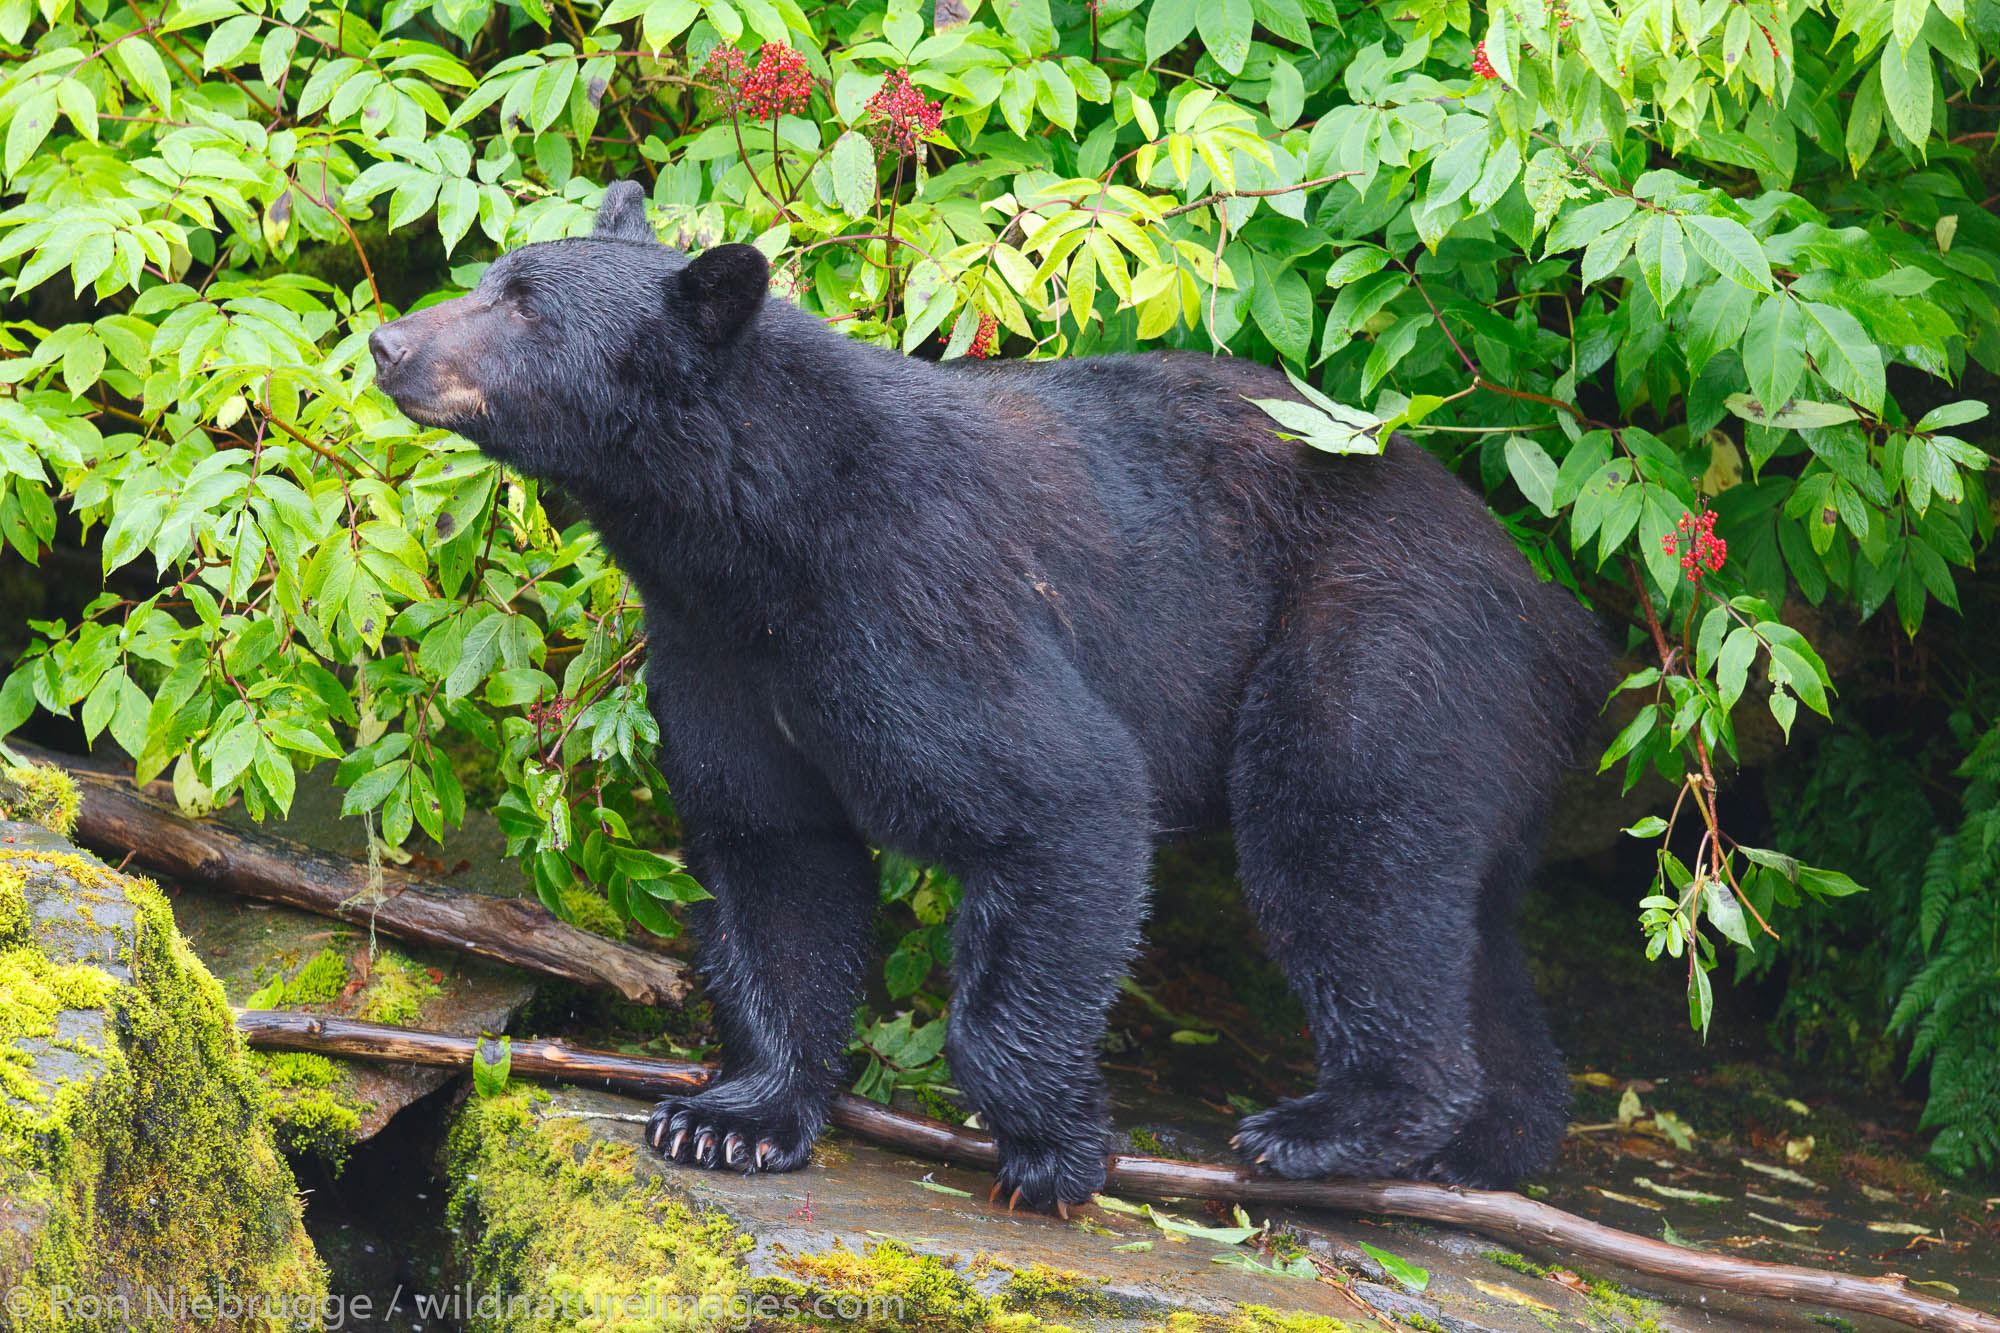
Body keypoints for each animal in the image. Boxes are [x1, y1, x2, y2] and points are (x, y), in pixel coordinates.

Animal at [368, 176, 1600, 1200]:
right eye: (492, 276)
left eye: (526, 307)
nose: (386, 341)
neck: (752, 533)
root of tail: (1555, 612)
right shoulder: (717, 654)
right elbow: (774, 855)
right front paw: (733, 1117)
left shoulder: (910, 599)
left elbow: (1060, 797)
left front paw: (1055, 1147)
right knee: (1455, 910)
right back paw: (1490, 1141)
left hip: (1375, 639)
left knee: (1341, 838)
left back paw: (1336, 1125)